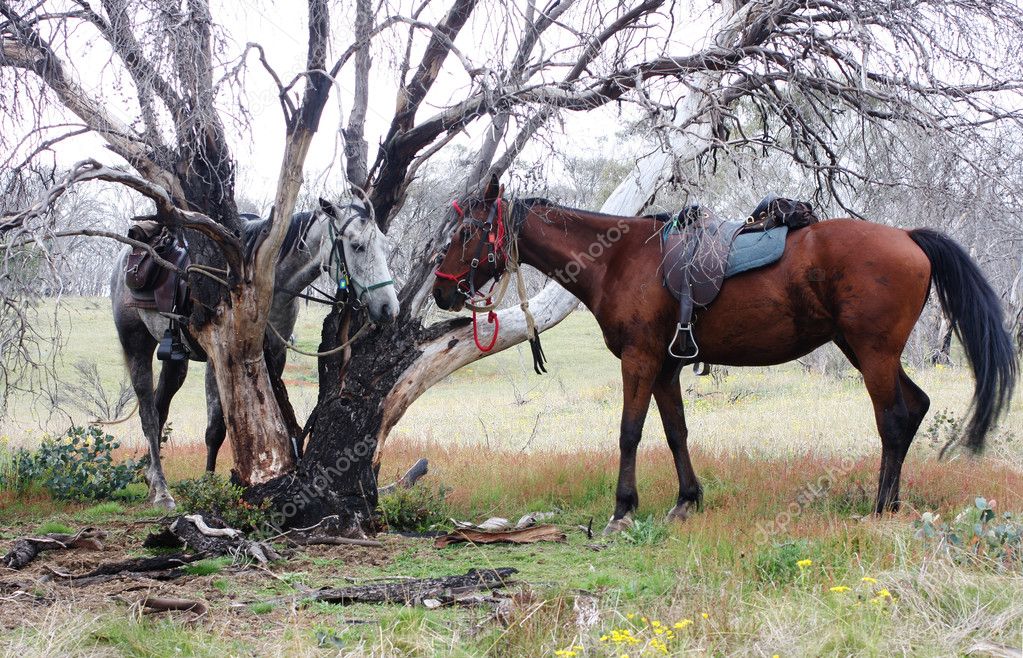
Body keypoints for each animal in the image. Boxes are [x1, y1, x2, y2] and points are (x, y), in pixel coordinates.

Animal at [111, 199, 399, 509]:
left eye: (383, 244)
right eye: (357, 246)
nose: (389, 308)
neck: (264, 286)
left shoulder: (276, 354)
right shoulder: (218, 357)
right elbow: (215, 430)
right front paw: (208, 485)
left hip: (177, 361)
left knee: (160, 408)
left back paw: (151, 478)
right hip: (136, 343)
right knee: (149, 415)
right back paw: (162, 491)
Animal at [432, 176, 1018, 534]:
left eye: (466, 230)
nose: (440, 291)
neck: (620, 259)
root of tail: (908, 237)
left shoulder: (639, 361)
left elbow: (629, 432)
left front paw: (623, 509)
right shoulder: (666, 366)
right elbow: (675, 433)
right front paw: (687, 500)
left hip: (872, 354)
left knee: (894, 418)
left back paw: (880, 509)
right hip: (864, 351)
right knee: (914, 408)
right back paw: (891, 504)